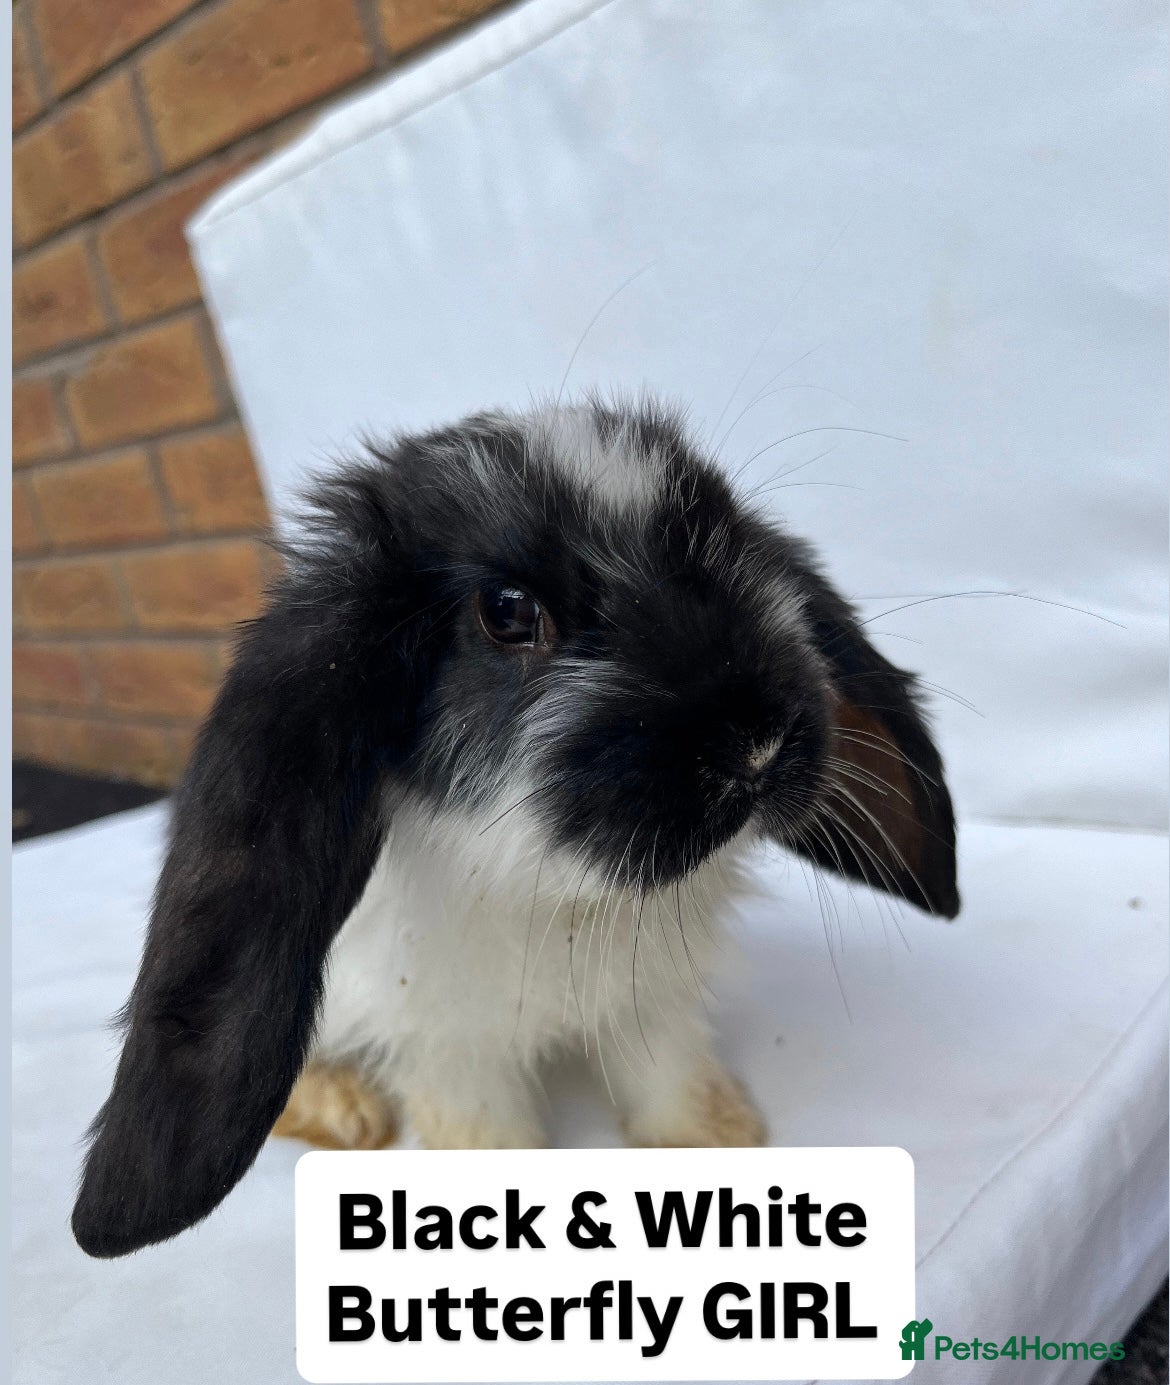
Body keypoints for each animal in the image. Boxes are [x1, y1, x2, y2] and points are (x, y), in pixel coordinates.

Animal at [71, 396, 958, 1259]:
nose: (759, 741)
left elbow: (668, 1071)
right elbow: (481, 1130)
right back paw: (350, 1114)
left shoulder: (652, 1001)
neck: (549, 883)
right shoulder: (445, 1042)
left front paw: (720, 1141)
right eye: (506, 612)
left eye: (727, 548)